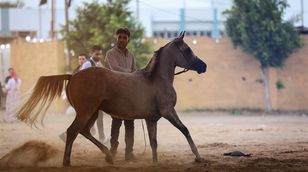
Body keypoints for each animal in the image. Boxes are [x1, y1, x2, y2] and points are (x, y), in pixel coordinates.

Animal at [18, 31, 208, 166]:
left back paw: (109, 155)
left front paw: (155, 163)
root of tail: (73, 76)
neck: (156, 78)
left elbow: (154, 142)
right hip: (86, 112)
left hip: (93, 113)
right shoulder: (168, 111)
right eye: (187, 50)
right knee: (73, 131)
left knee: (84, 131)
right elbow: (185, 130)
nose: (203, 66)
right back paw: (67, 162)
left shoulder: (151, 119)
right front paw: (198, 157)